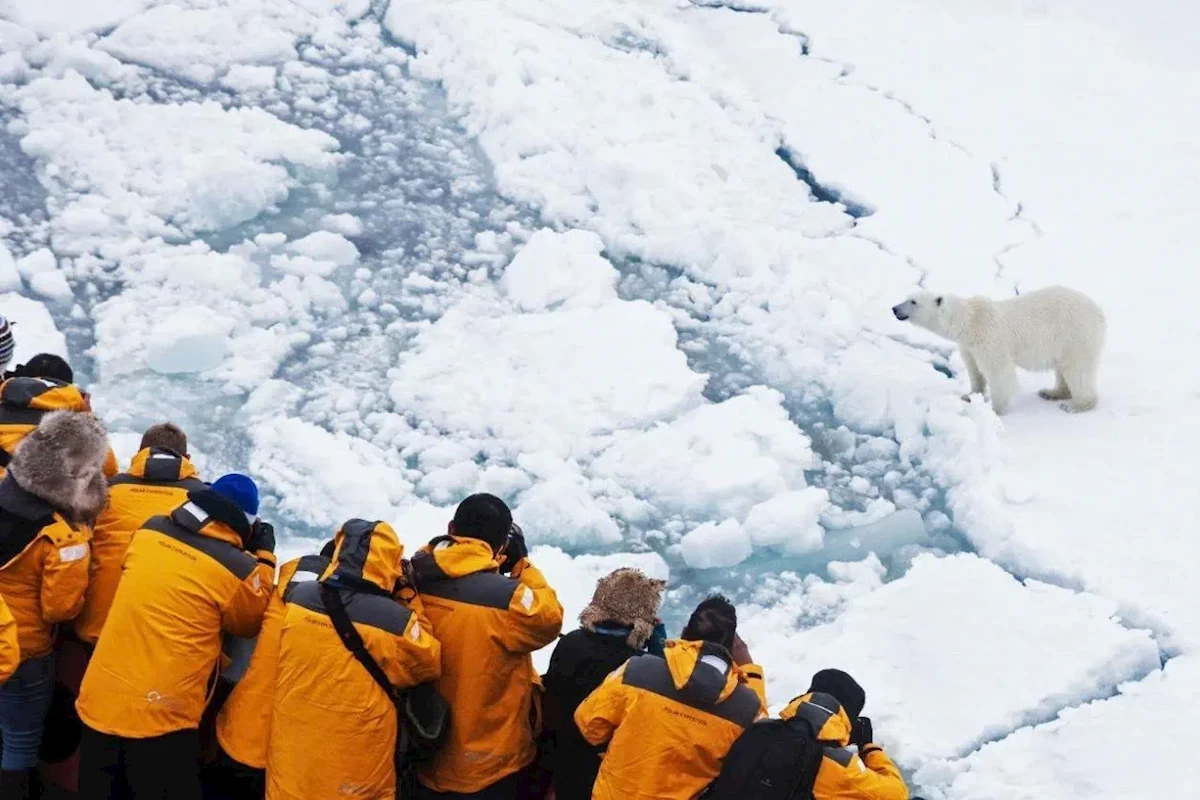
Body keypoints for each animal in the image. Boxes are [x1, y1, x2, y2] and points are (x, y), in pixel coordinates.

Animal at [891, 286, 1106, 415]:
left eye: (913, 302)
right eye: (906, 297)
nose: (894, 308)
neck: (968, 321)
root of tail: (1099, 311)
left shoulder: (989, 338)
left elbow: (999, 372)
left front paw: (995, 409)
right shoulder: (969, 346)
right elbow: (974, 370)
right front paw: (969, 395)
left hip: (1075, 334)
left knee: (1077, 370)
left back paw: (1076, 404)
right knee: (1063, 368)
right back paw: (1051, 392)